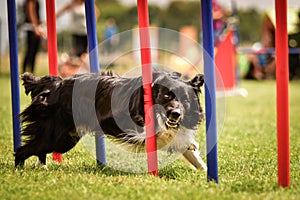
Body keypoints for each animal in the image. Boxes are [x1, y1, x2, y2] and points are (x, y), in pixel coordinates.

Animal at [15, 70, 207, 170]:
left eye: (185, 100)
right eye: (166, 96)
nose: (175, 114)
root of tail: (57, 84)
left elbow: (192, 154)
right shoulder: (139, 129)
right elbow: (167, 137)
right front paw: (189, 144)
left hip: (66, 137)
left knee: (38, 149)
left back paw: (41, 167)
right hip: (57, 135)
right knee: (23, 149)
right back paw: (20, 170)